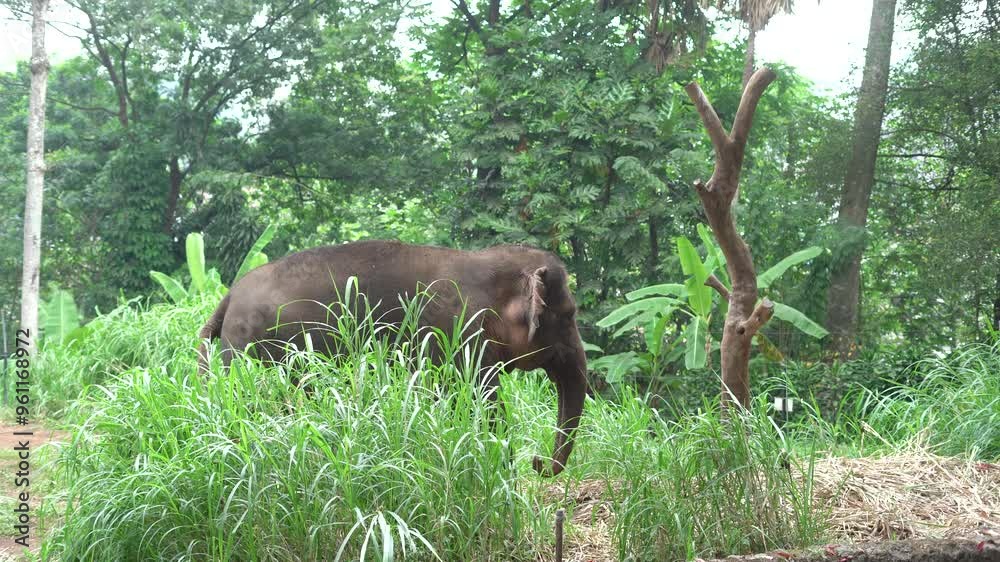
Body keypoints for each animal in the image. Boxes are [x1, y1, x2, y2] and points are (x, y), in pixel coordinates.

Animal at [196, 240, 588, 477]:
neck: (486, 262)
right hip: (258, 353)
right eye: (569, 315)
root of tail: (228, 297)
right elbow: (482, 403)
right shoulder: (455, 334)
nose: (537, 462)